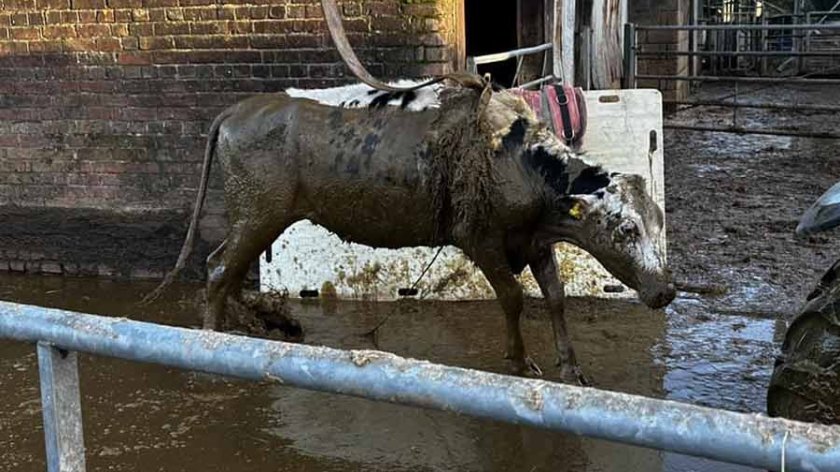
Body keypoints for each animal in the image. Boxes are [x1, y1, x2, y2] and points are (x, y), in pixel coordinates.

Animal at [148, 75, 676, 385]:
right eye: (625, 228)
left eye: (657, 220)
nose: (666, 291)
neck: (514, 157)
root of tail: (237, 110)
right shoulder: (480, 239)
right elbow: (513, 298)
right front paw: (520, 361)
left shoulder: (534, 240)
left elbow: (556, 298)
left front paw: (571, 367)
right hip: (258, 213)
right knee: (220, 269)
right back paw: (212, 349)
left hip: (255, 217)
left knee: (228, 269)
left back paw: (254, 329)